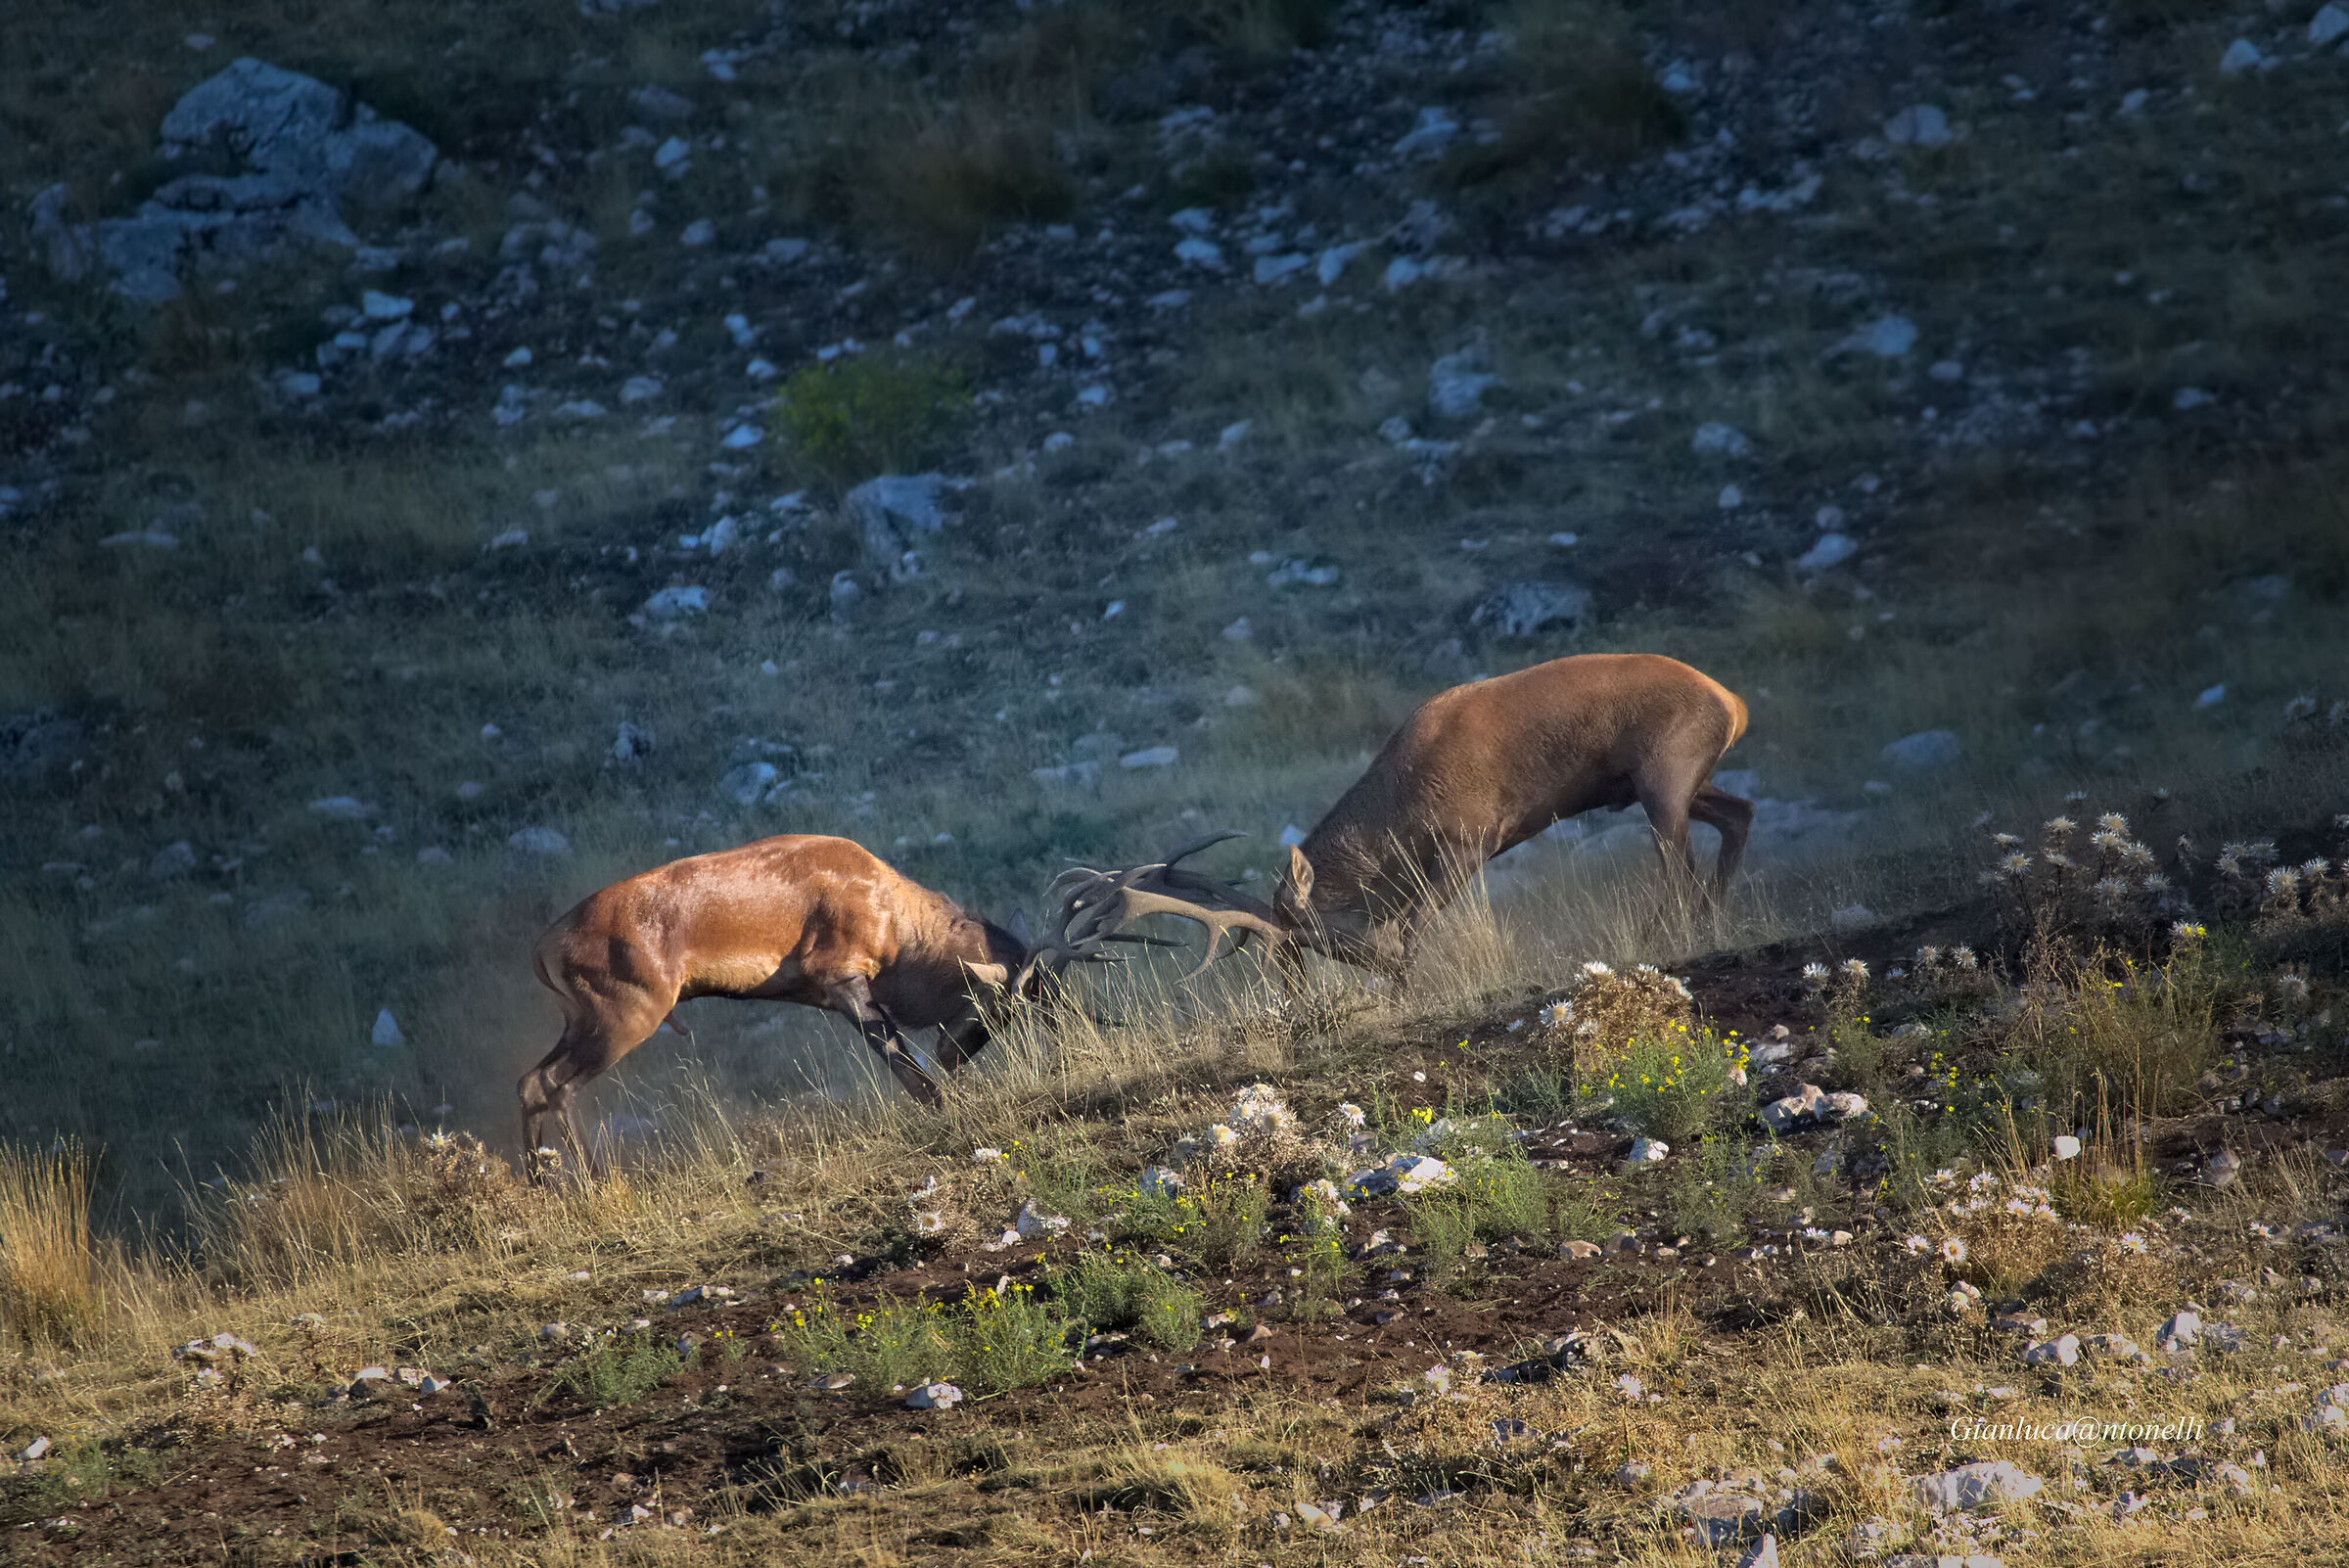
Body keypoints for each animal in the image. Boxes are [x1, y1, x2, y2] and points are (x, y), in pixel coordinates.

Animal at [518, 833, 1141, 1178]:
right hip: (625, 1014)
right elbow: (907, 1070)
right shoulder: (840, 975)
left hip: (582, 1019)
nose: (954, 1054)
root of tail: (541, 950)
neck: (896, 931)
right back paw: (597, 1182)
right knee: (556, 1085)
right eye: (998, 1008)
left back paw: (541, 1184)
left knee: (529, 1081)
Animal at [1058, 653, 1753, 985]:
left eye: (1317, 937)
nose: (1293, 986)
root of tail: (1734, 704)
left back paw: (1671, 933)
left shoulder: (1472, 838)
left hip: (1665, 769)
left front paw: (1406, 985)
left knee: (1680, 863)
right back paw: (1712, 919)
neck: (1403, 806)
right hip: (1668, 781)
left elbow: (1418, 924)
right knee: (1738, 814)